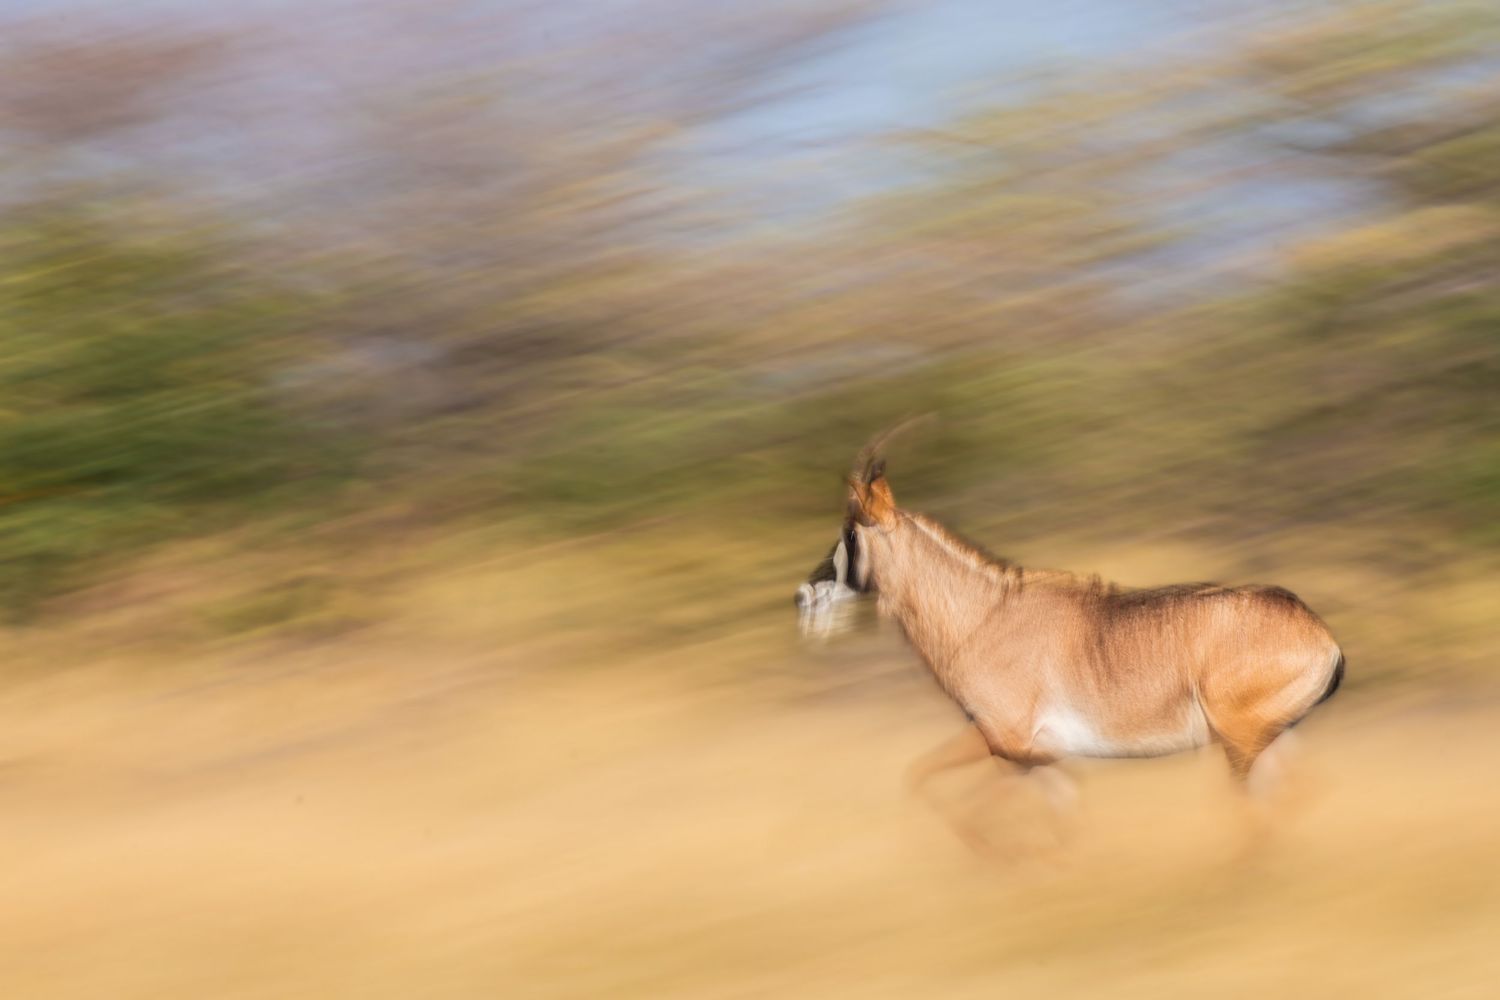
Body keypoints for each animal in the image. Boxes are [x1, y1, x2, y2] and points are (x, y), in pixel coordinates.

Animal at [794, 429, 1345, 852]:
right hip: (1270, 738)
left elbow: (967, 806)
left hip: (1240, 742)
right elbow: (1052, 817)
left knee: (1264, 805)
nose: (803, 597)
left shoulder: (1008, 747)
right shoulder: (1039, 758)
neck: (983, 614)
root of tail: (1322, 638)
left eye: (849, 533)